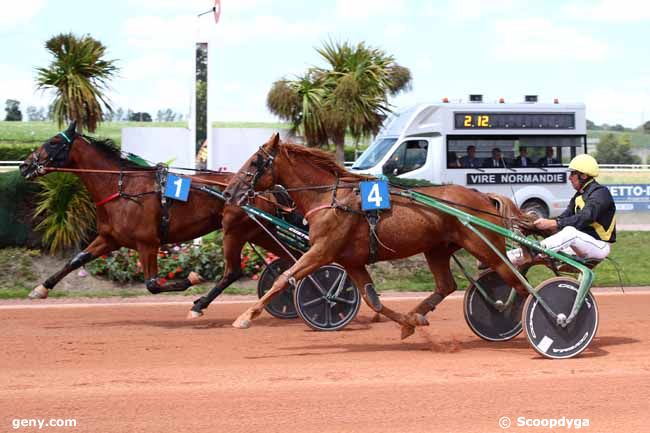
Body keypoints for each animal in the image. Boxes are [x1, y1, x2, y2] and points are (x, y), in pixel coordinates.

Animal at [18, 121, 292, 318]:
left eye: (54, 142)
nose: (24, 165)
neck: (122, 187)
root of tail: (265, 190)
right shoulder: (110, 238)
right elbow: (76, 260)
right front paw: (40, 289)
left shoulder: (147, 243)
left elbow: (152, 283)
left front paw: (192, 278)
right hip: (258, 231)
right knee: (288, 260)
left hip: (234, 232)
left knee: (233, 271)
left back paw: (199, 305)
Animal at [223, 133, 536, 336]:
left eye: (255, 162)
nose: (229, 192)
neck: (330, 198)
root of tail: (482, 197)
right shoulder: (351, 262)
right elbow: (373, 300)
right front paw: (408, 323)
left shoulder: (321, 251)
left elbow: (282, 279)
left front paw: (245, 317)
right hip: (437, 249)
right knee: (447, 285)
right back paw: (418, 314)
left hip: (484, 248)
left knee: (519, 285)